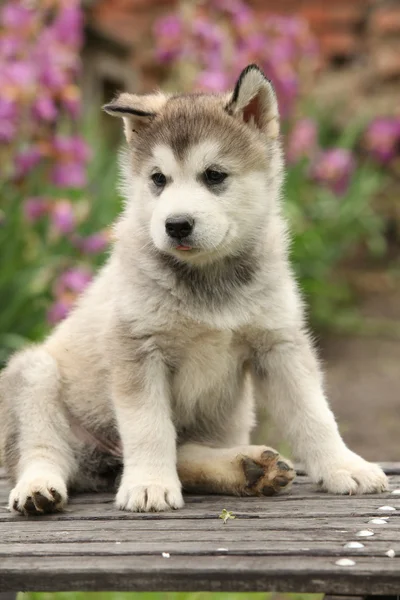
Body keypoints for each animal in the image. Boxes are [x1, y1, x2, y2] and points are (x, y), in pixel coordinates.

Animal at [0, 67, 388, 516]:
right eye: (158, 179)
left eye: (214, 175)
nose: (177, 225)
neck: (209, 280)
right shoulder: (136, 349)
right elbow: (149, 428)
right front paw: (149, 484)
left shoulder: (280, 344)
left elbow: (314, 414)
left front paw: (346, 466)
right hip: (35, 374)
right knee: (44, 450)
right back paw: (38, 489)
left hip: (228, 417)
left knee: (183, 450)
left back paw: (247, 468)